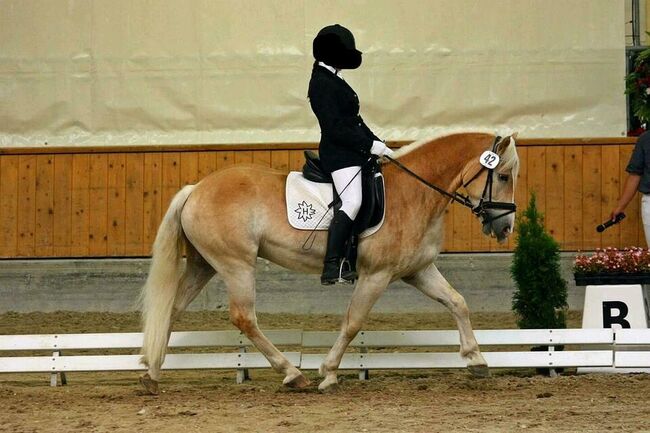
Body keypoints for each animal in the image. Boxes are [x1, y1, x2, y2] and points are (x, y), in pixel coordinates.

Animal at [139, 131, 520, 392]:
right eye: (502, 176)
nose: (504, 227)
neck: (415, 193)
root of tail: (195, 189)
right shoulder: (377, 275)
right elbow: (353, 322)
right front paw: (328, 372)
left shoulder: (418, 270)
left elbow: (458, 302)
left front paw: (476, 359)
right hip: (237, 265)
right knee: (244, 317)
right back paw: (293, 374)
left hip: (204, 264)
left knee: (171, 310)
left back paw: (151, 373)